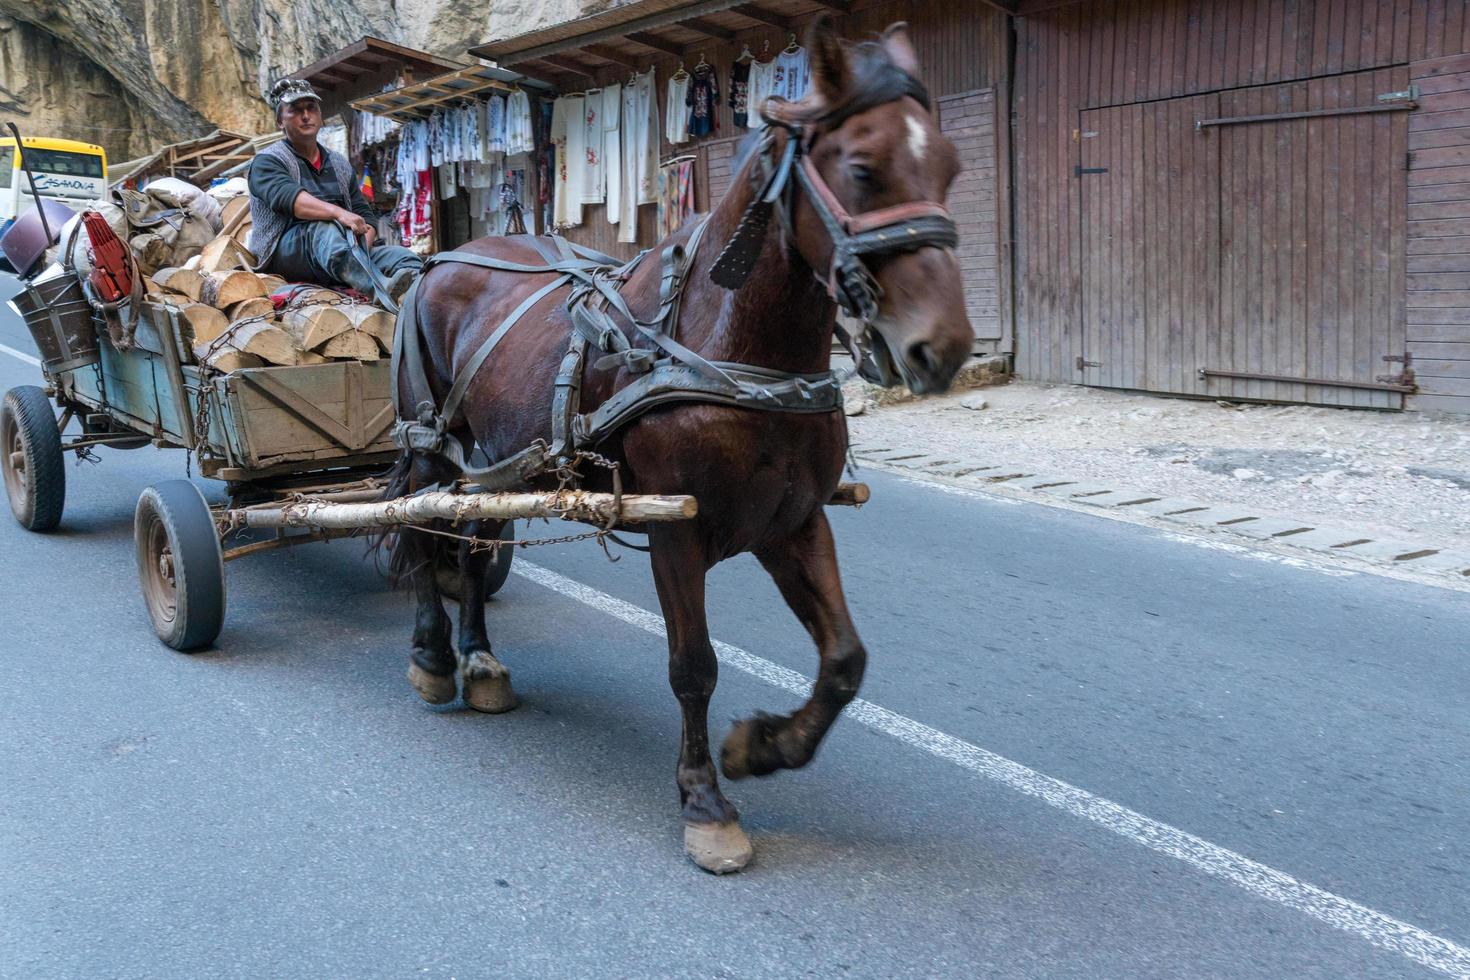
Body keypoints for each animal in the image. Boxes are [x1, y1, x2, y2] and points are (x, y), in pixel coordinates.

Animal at [385, 17, 970, 875]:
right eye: (862, 167)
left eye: (951, 165)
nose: (945, 347)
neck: (731, 352)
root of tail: (441, 260)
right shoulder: (675, 531)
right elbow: (694, 666)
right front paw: (705, 802)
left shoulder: (795, 524)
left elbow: (844, 662)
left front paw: (762, 747)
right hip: (433, 444)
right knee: (422, 533)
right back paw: (430, 657)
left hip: (493, 460)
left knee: (471, 538)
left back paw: (480, 658)